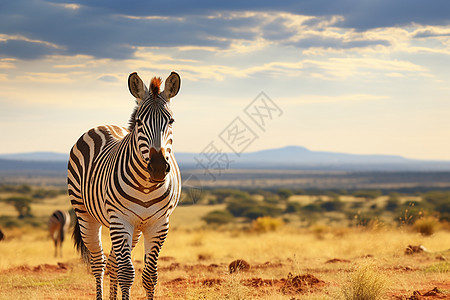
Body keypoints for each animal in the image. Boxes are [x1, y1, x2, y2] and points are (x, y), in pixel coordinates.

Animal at [68, 71, 181, 298]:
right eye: (139, 121)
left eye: (171, 120)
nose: (157, 167)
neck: (147, 186)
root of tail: (103, 125)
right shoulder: (120, 220)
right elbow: (127, 273)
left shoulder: (159, 224)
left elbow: (150, 275)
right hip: (86, 216)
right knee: (99, 262)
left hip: (136, 228)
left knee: (113, 263)